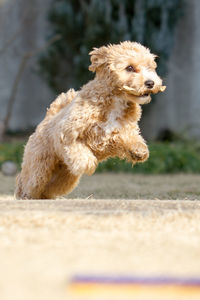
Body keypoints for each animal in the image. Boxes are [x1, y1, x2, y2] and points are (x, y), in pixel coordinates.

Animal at [15, 40, 166, 199]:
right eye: (129, 67)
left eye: (150, 67)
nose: (150, 83)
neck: (115, 101)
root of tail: (45, 121)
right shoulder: (68, 133)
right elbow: (77, 149)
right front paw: (88, 162)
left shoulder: (121, 132)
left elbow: (131, 138)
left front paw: (139, 151)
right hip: (39, 167)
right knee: (26, 181)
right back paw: (24, 195)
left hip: (65, 177)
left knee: (48, 188)